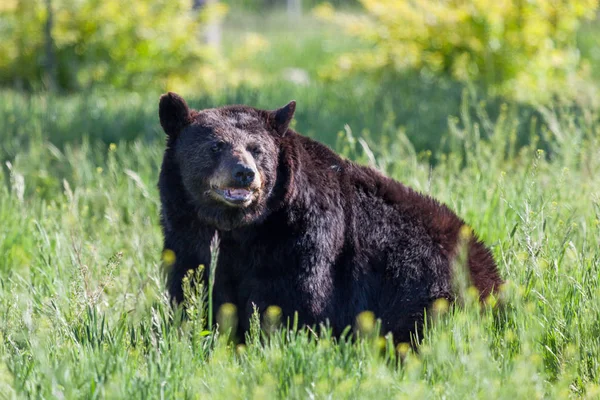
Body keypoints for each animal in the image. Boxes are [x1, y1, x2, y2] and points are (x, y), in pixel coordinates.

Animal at [156, 92, 502, 342]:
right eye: (216, 146)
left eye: (257, 149)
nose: (244, 173)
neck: (242, 229)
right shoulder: (187, 235)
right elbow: (194, 287)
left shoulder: (305, 238)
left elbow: (299, 298)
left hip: (426, 285)